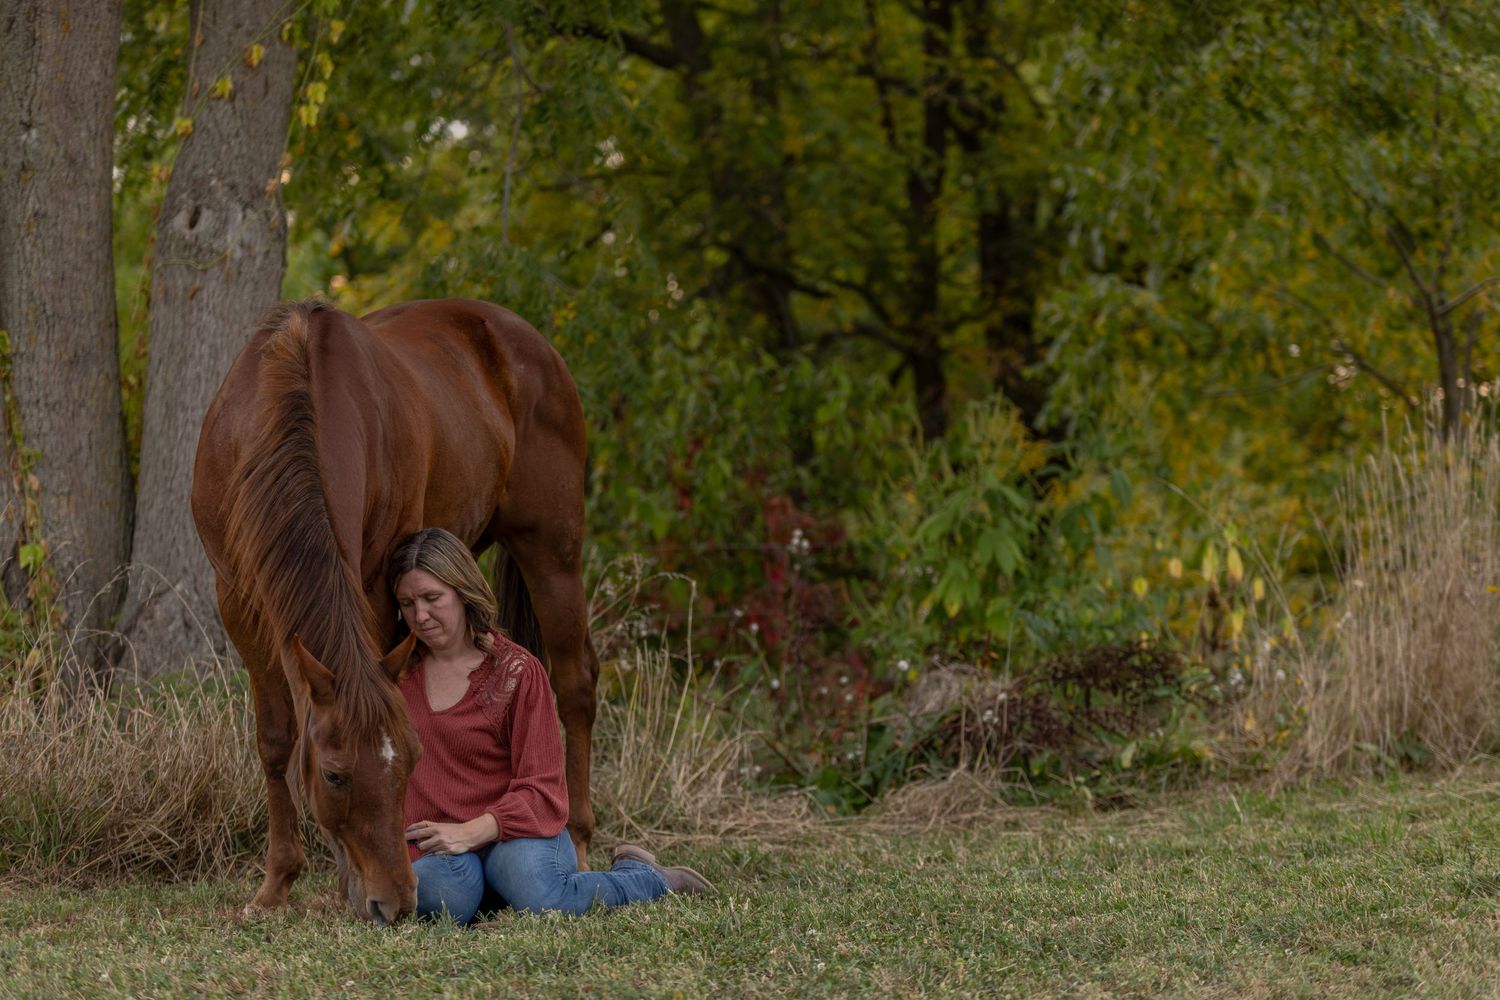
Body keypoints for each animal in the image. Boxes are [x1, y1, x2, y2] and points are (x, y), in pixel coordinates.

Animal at [191, 298, 601, 923]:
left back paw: (576, 839)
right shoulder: (238, 598)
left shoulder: (381, 589)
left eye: (410, 761)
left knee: (574, 686)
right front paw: (277, 883)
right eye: (334, 775)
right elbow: (276, 741)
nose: (396, 901)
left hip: (553, 553)